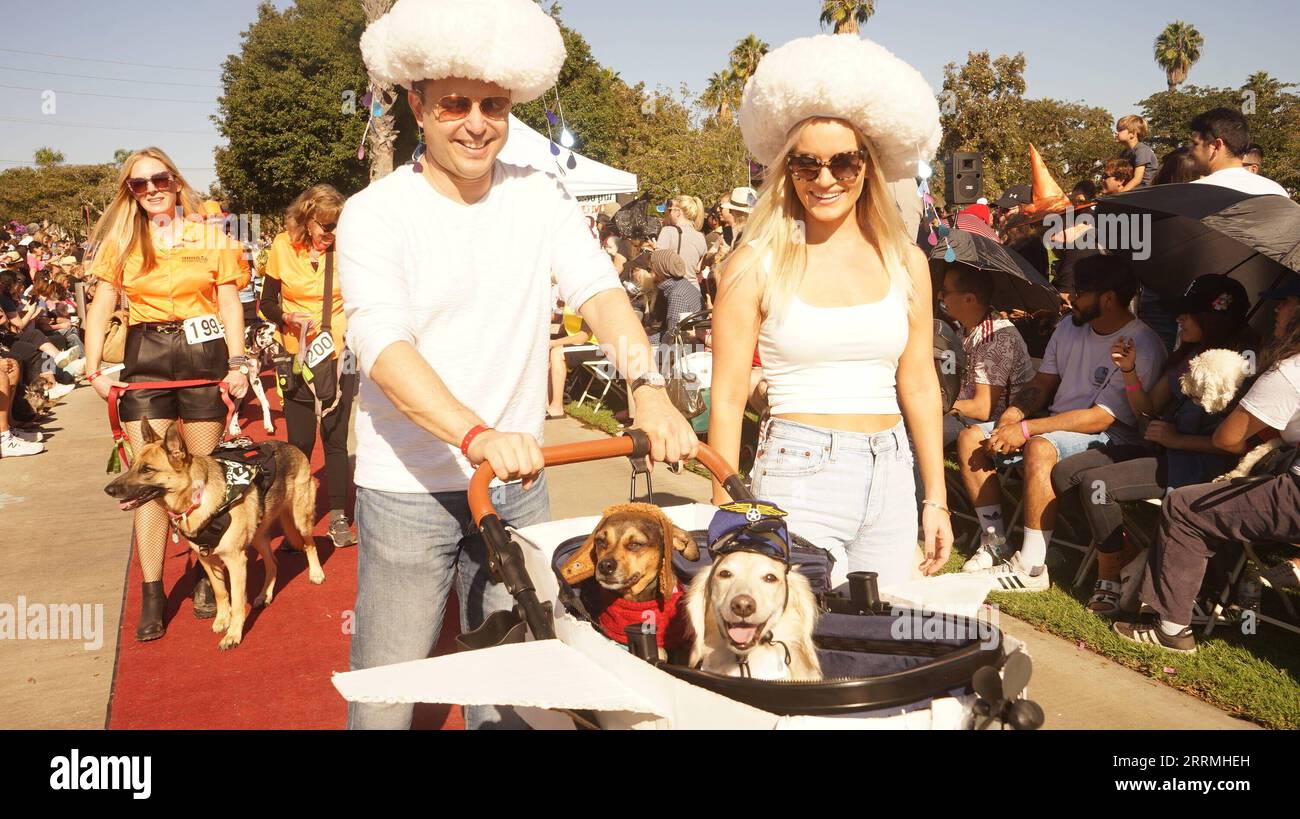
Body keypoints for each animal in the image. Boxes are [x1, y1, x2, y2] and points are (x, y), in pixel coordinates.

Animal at [106, 421, 325, 652]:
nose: (108, 489)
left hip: (301, 520)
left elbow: (237, 602)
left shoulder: (236, 561)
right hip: (257, 536)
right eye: (132, 465)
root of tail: (291, 446)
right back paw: (265, 594)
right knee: (273, 563)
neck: (196, 500)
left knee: (309, 545)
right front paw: (222, 620)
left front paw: (233, 635)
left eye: (147, 470)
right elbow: (221, 593)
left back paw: (316, 573)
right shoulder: (207, 559)